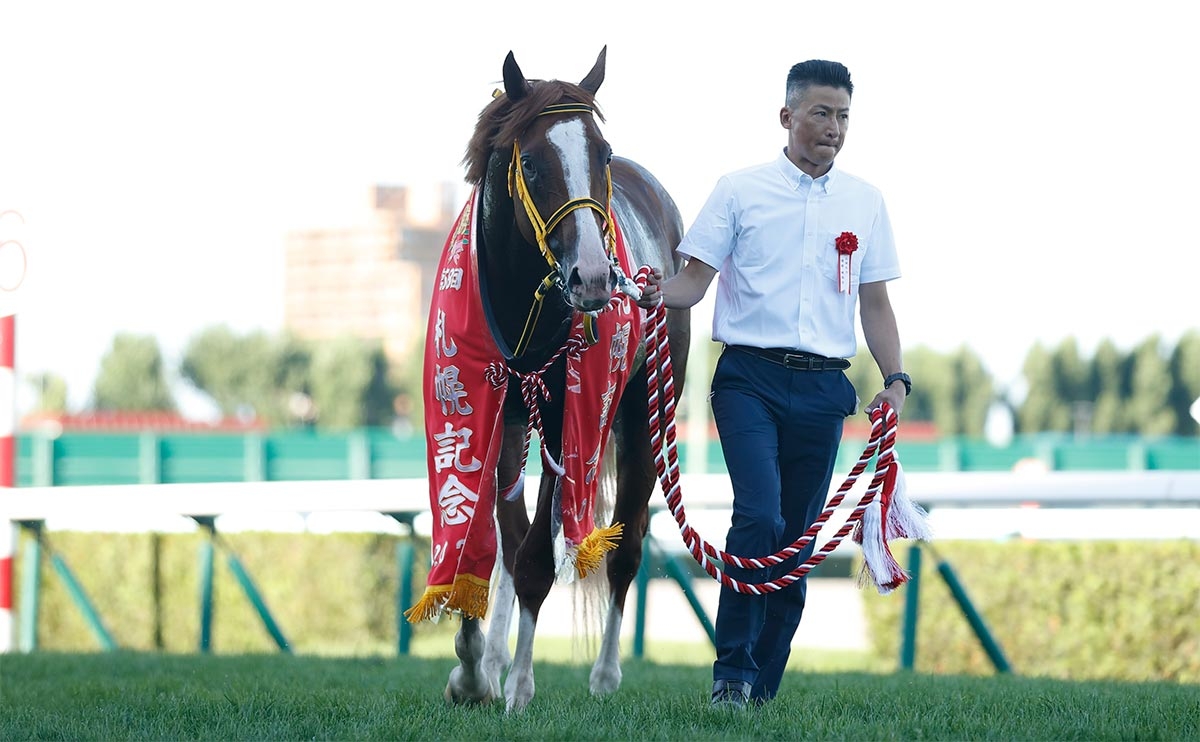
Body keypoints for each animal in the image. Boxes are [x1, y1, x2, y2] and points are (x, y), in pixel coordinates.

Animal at [410, 47, 696, 710]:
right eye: (535, 164)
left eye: (604, 154)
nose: (593, 276)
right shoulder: (484, 405)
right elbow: (485, 544)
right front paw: (472, 670)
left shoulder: (569, 415)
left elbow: (539, 556)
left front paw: (517, 685)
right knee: (511, 541)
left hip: (644, 410)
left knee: (626, 546)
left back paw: (604, 675)